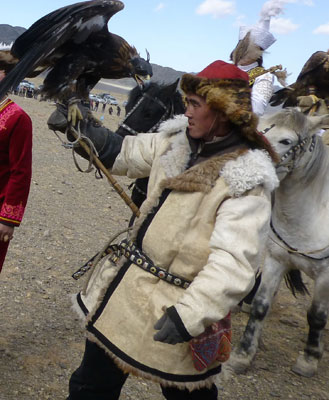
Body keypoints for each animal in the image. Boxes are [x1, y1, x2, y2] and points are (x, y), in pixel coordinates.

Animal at [227, 108, 328, 378]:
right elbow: (260, 305)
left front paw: (309, 359)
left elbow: (317, 315)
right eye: (258, 128)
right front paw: (243, 354)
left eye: (286, 141)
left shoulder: (325, 276)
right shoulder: (276, 260)